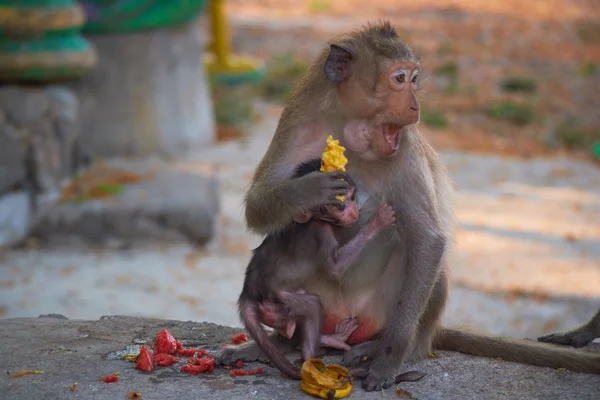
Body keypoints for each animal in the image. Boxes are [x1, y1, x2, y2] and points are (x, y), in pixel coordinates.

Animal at [237, 159, 396, 378]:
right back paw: (311, 357)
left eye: (352, 197)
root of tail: (248, 294)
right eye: (339, 206)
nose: (353, 212)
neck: (313, 219)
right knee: (311, 306)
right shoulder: (320, 230)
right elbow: (336, 267)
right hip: (277, 303)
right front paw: (377, 222)